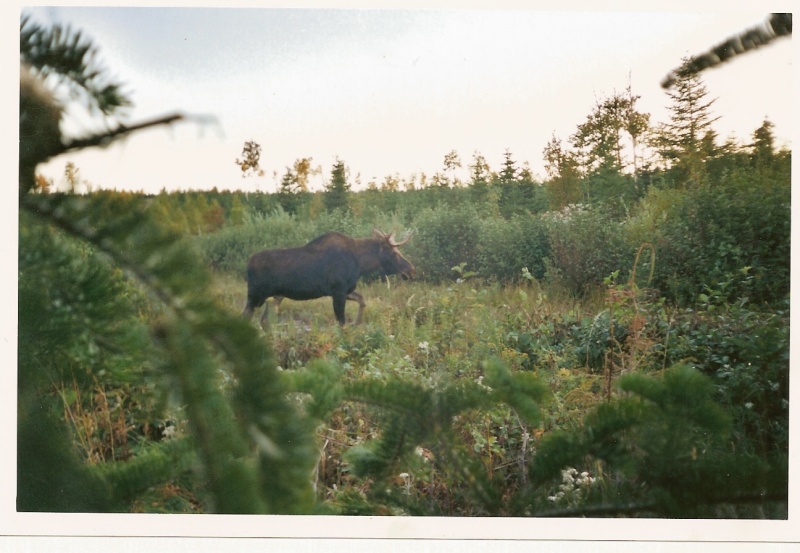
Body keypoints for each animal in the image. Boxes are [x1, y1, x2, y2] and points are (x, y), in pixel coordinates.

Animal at [241, 230, 416, 326]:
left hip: (275, 297)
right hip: (255, 295)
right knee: (246, 317)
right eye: (394, 253)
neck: (360, 264)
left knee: (263, 320)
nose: (411, 270)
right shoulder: (338, 291)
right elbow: (341, 322)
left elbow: (362, 300)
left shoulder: (345, 290)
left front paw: (356, 322)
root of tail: (247, 264)